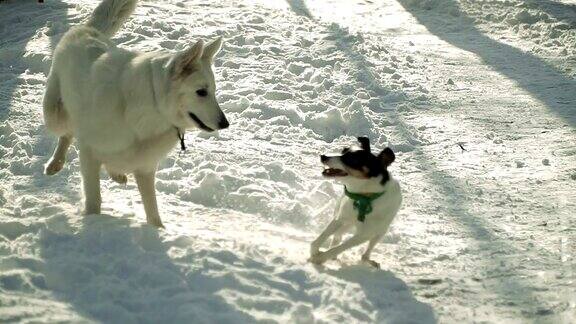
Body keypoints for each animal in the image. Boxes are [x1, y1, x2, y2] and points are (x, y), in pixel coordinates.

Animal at [43, 0, 227, 228]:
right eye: (201, 92)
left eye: (214, 91)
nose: (225, 123)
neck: (151, 108)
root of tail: (87, 29)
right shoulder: (88, 154)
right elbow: (94, 199)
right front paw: (93, 223)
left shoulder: (145, 168)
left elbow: (153, 212)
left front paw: (158, 231)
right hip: (55, 116)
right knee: (67, 133)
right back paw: (56, 163)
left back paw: (116, 174)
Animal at [310, 138, 400, 268]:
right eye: (343, 152)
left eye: (352, 160)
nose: (323, 156)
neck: (364, 197)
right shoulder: (340, 218)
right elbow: (322, 237)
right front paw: (314, 251)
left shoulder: (363, 235)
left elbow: (339, 248)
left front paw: (320, 258)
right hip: (343, 218)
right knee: (337, 236)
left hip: (380, 232)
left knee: (366, 252)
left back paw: (368, 260)